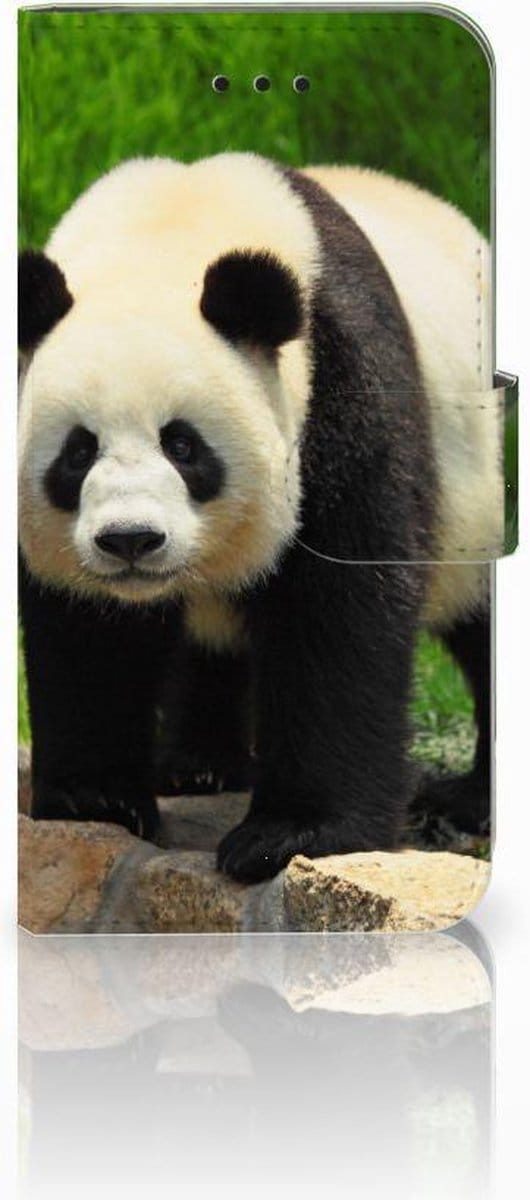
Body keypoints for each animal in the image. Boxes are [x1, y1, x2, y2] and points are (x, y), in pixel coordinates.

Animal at [18, 152, 501, 882]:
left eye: (183, 445)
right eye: (78, 452)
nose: (131, 541)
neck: (167, 234)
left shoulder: (342, 383)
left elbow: (341, 607)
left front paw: (294, 834)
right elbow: (87, 630)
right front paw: (95, 799)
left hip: (481, 488)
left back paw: (468, 800)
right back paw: (198, 765)